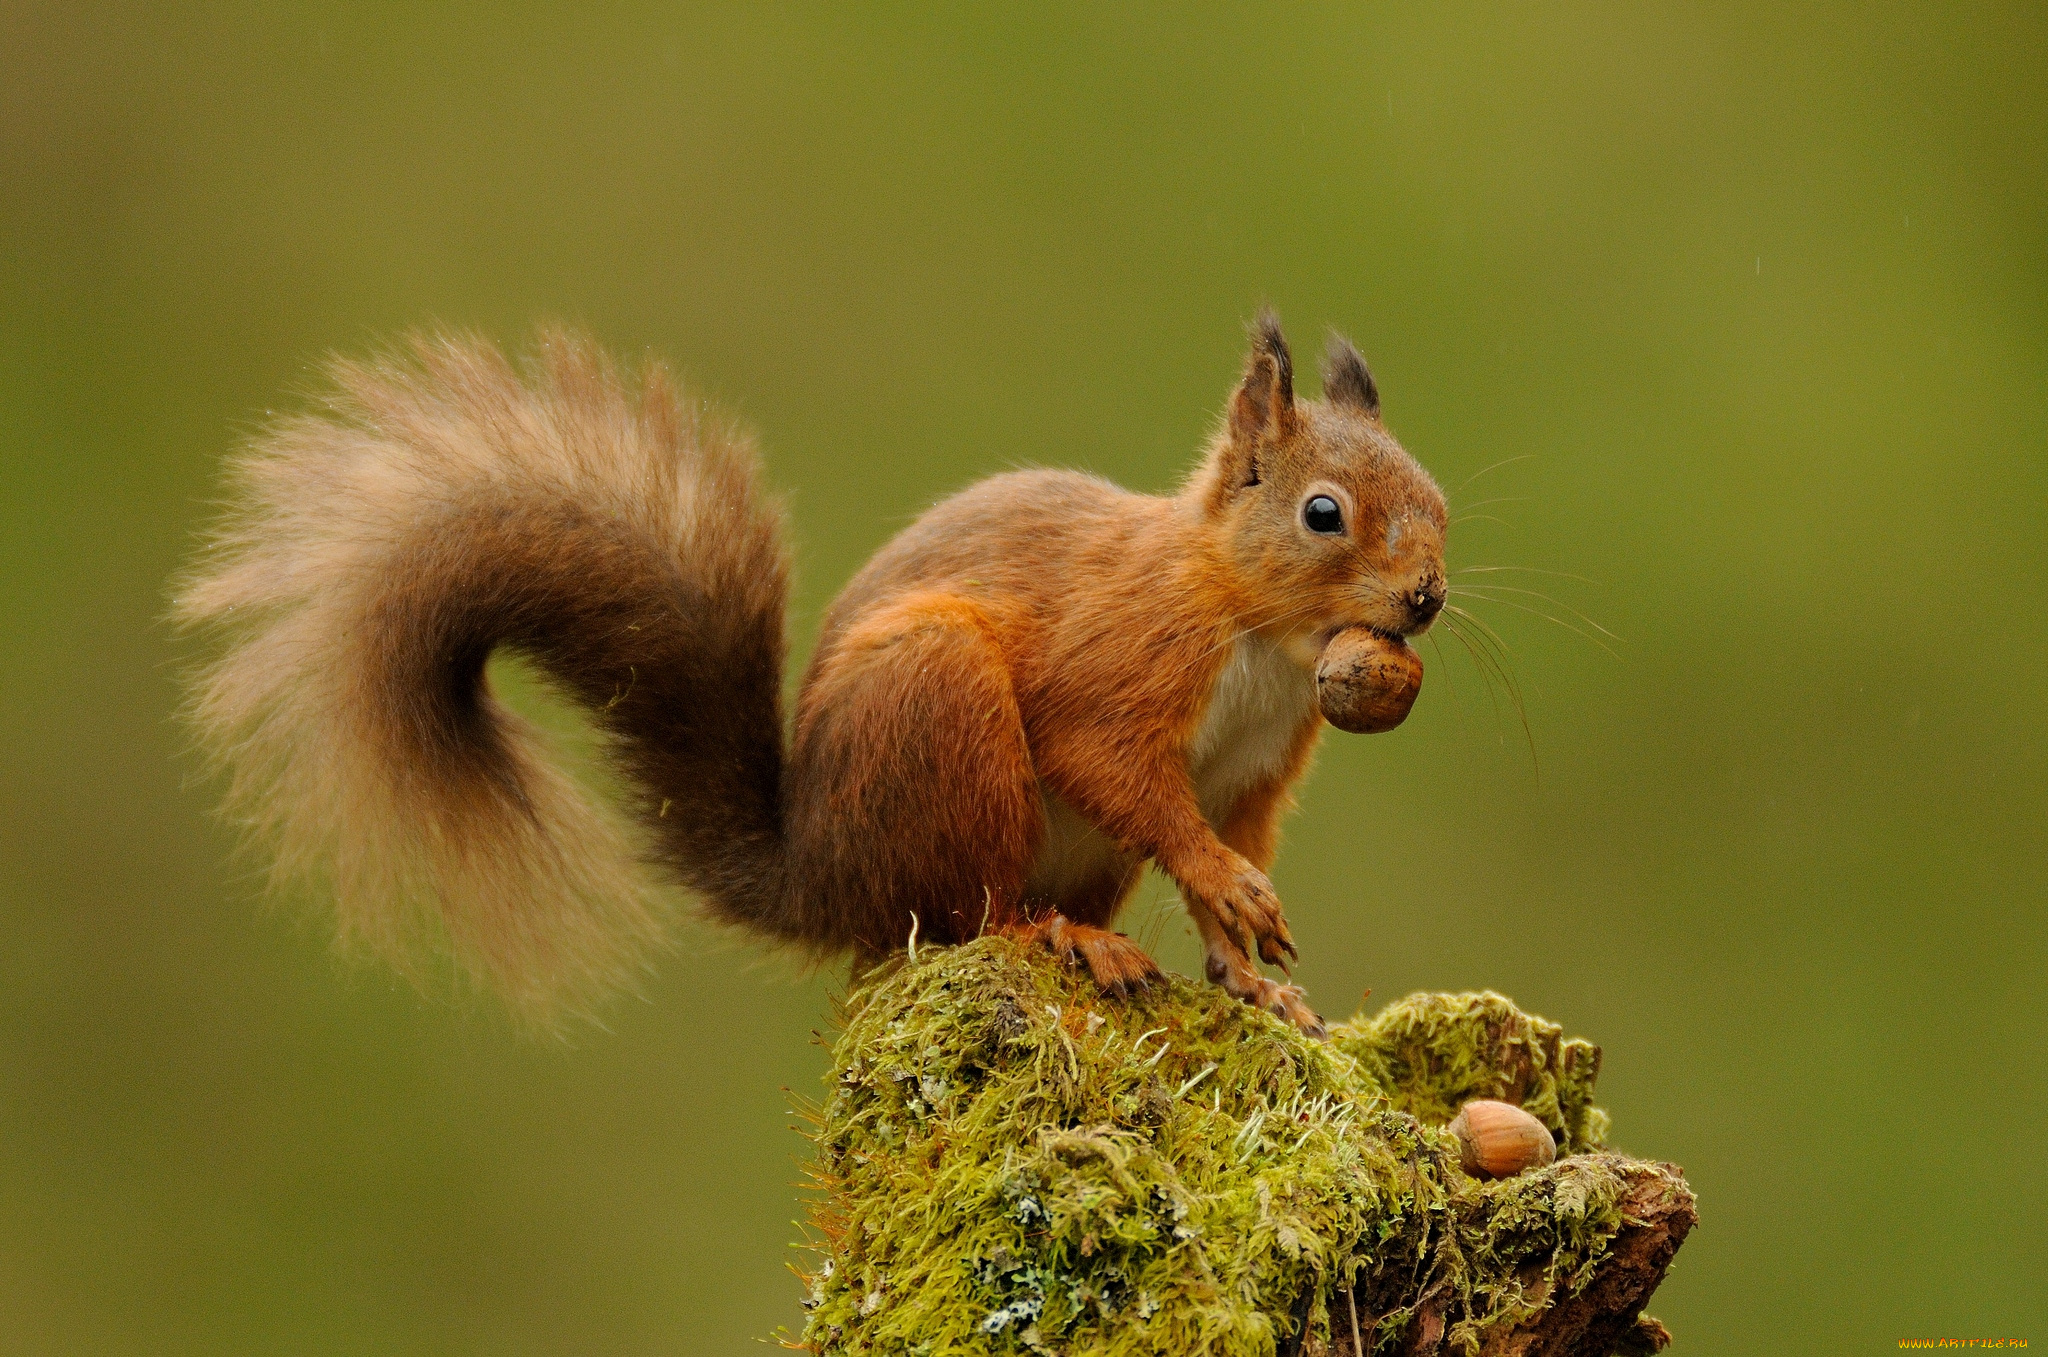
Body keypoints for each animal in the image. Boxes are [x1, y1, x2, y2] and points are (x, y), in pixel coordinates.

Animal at [180, 311, 1458, 1031]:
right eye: (1323, 513)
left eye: (1437, 497)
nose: (1425, 598)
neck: (1256, 632)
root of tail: (820, 875)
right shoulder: (1121, 659)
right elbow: (1121, 774)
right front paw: (1232, 899)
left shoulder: (1252, 770)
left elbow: (1223, 847)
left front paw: (1251, 972)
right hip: (940, 711)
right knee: (966, 912)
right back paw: (1061, 937)